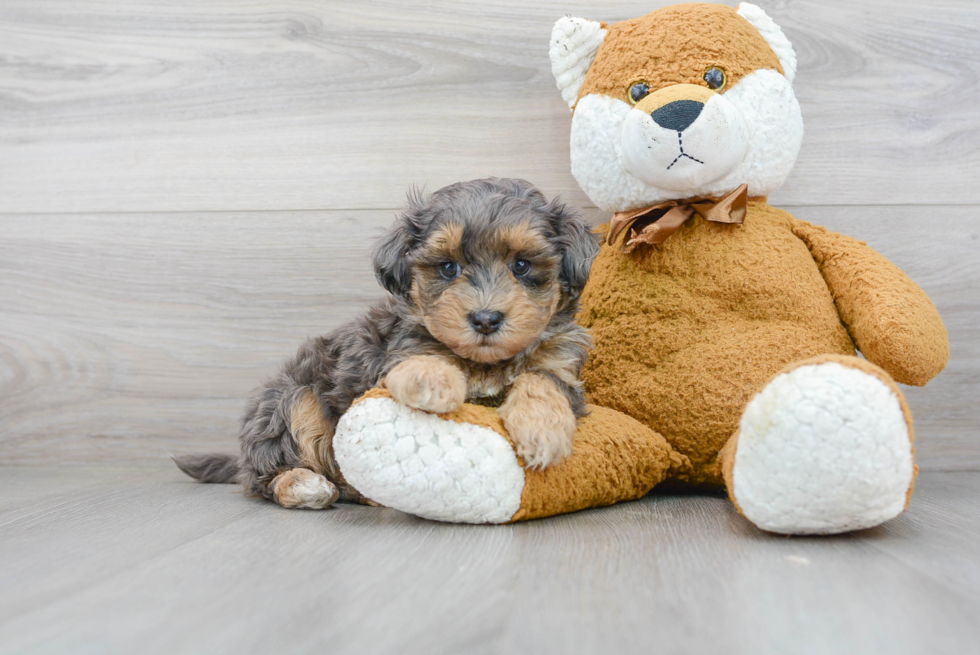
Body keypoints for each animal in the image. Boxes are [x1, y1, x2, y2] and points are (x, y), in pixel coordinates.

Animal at [179, 177, 600, 510]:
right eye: (448, 268)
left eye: (522, 266)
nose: (485, 319)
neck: (485, 362)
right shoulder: (395, 356)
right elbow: (419, 361)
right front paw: (434, 381)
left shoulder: (563, 362)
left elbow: (543, 380)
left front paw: (541, 429)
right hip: (293, 400)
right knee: (265, 474)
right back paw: (303, 485)